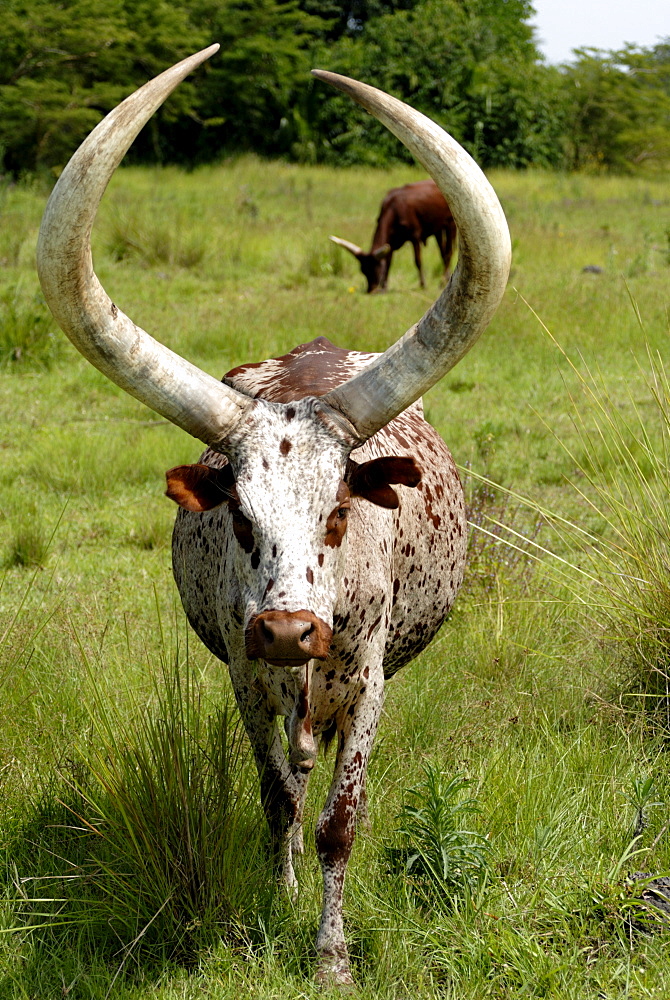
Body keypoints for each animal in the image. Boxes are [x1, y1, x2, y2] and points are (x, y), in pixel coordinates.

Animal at [332, 179, 460, 292]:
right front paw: (385, 286)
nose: (371, 290)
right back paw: (446, 278)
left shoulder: (415, 235)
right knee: (443, 253)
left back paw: (442, 281)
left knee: (448, 252)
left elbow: (417, 261)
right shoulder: (392, 241)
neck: (394, 208)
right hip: (438, 229)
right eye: (363, 270)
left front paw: (422, 284)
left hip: (450, 224)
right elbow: (389, 261)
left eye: (376, 268)